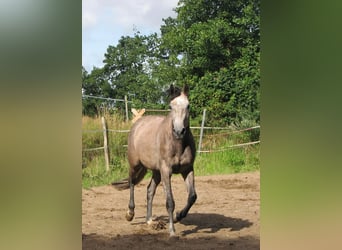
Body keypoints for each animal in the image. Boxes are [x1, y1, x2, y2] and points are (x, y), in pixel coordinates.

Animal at [113, 84, 196, 236]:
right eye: (170, 106)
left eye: (188, 106)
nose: (179, 131)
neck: (177, 144)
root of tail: (138, 123)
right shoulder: (166, 171)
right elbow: (170, 201)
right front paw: (172, 231)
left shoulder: (187, 169)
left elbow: (192, 196)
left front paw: (178, 216)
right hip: (135, 165)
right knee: (132, 183)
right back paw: (130, 213)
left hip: (156, 172)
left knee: (150, 190)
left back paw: (150, 221)